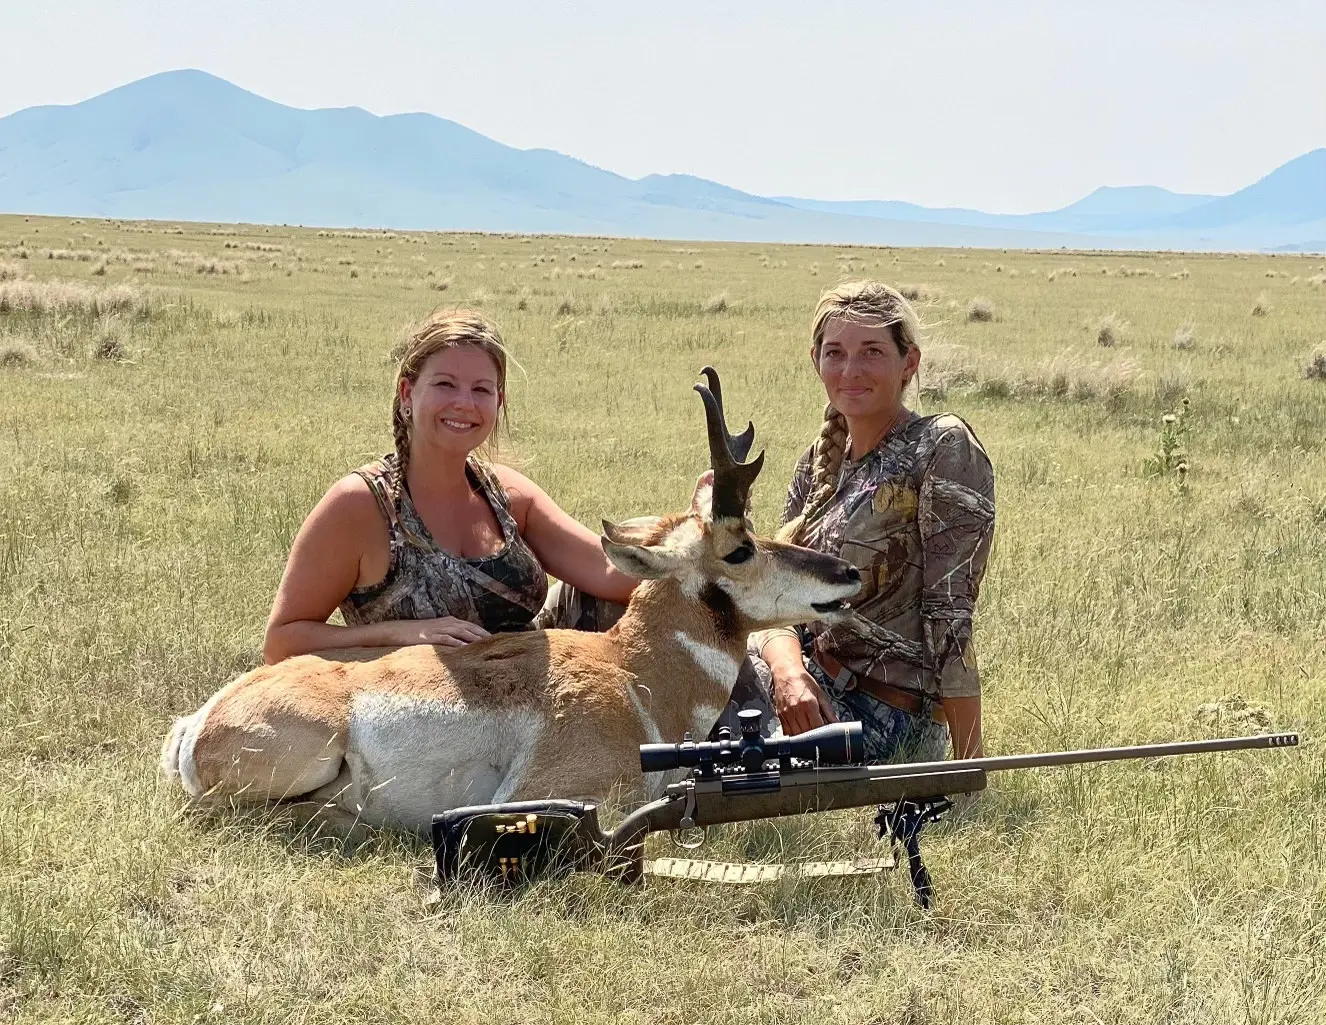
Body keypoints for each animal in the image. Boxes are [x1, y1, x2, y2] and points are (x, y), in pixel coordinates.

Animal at [160, 369, 862, 834]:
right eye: (740, 549)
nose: (848, 573)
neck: (634, 672)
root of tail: (198, 721)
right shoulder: (553, 792)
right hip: (306, 758)